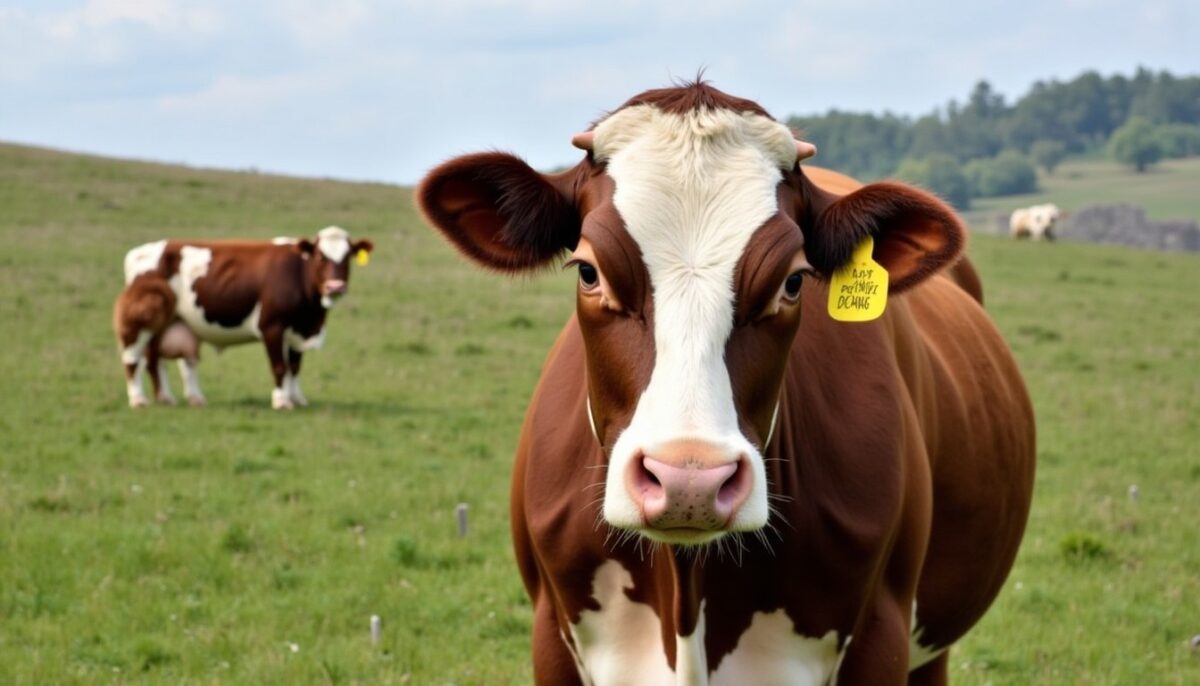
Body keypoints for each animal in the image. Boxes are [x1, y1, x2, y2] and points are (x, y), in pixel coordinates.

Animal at [114, 226, 373, 409]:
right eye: (321, 257)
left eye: (347, 257)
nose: (335, 286)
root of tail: (139, 252)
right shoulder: (272, 327)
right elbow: (280, 366)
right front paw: (281, 401)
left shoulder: (298, 329)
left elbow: (295, 367)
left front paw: (296, 398)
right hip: (141, 320)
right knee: (133, 358)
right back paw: (138, 399)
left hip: (170, 323)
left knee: (160, 360)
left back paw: (179, 398)